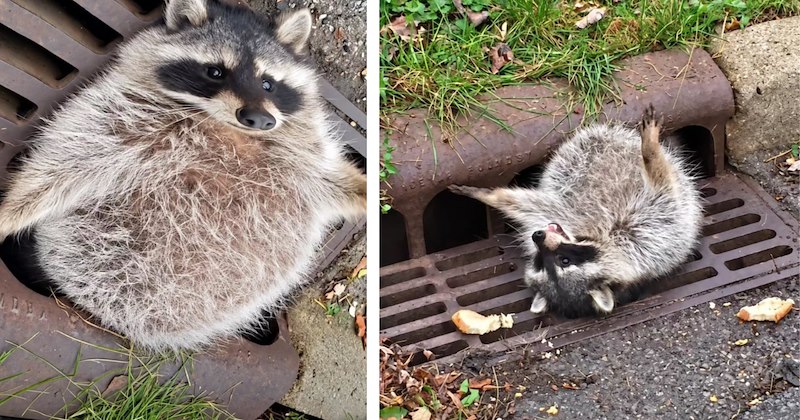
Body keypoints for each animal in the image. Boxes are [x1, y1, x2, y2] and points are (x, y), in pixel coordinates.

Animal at [0, 0, 366, 351]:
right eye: (215, 72)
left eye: (268, 83)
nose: (259, 119)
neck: (230, 132)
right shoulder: (127, 114)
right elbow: (68, 158)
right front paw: (12, 210)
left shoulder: (298, 156)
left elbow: (329, 178)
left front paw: (363, 189)